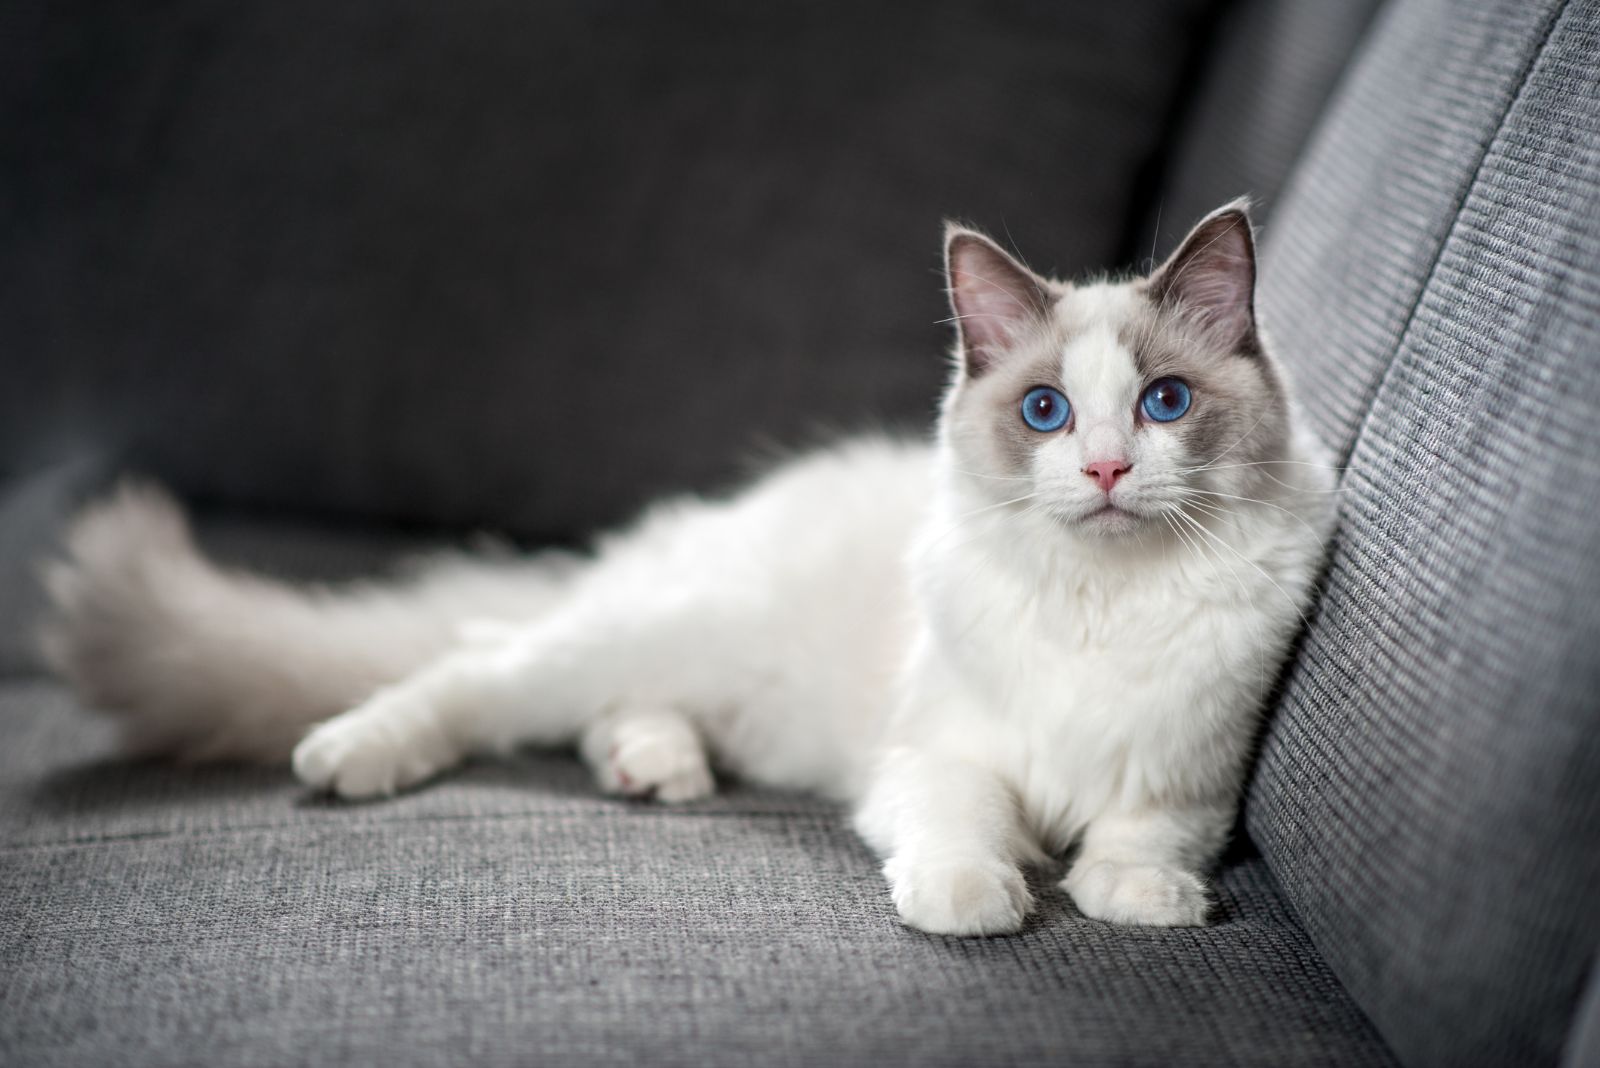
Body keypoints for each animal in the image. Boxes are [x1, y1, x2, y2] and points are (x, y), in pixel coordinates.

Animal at [43, 202, 1331, 933]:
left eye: (1163, 404)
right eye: (1047, 412)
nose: (1108, 469)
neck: (1100, 607)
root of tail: (693, 527)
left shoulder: (1185, 784)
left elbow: (1134, 846)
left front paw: (1146, 907)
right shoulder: (936, 753)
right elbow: (966, 825)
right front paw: (975, 904)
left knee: (593, 703)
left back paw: (656, 770)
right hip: (663, 627)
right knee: (478, 669)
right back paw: (346, 757)